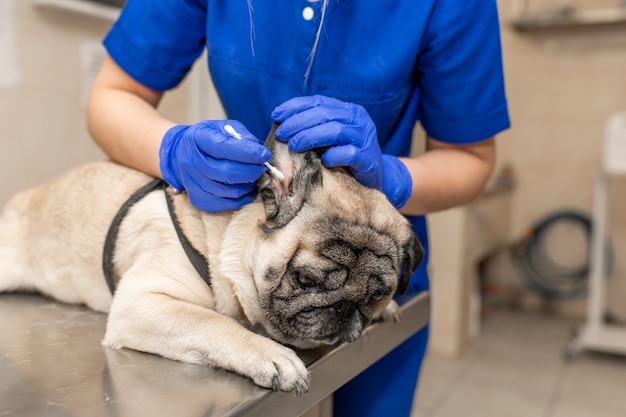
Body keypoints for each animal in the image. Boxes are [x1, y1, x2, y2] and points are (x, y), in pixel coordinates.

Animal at [0, 123, 422, 394]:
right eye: (306, 280)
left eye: (375, 295)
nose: (343, 309)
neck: (224, 242)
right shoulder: (141, 302)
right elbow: (214, 323)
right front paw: (272, 355)